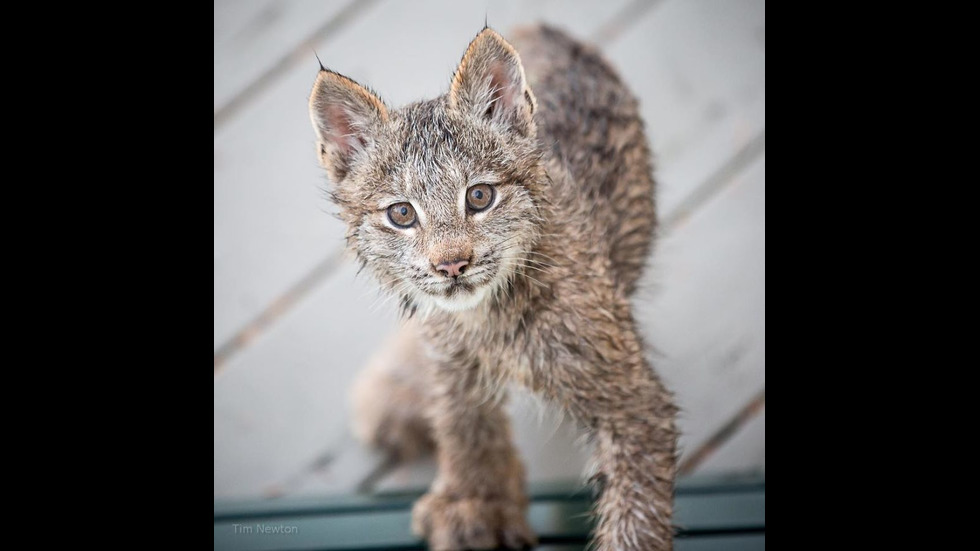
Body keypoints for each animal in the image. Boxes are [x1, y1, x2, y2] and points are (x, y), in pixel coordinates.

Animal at [310, 24, 676, 551]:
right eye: (401, 214)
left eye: (480, 197)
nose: (451, 265)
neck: (486, 317)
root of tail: (546, 27)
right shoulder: (452, 358)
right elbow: (463, 423)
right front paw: (475, 502)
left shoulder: (634, 403)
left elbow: (636, 518)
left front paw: (477, 503)